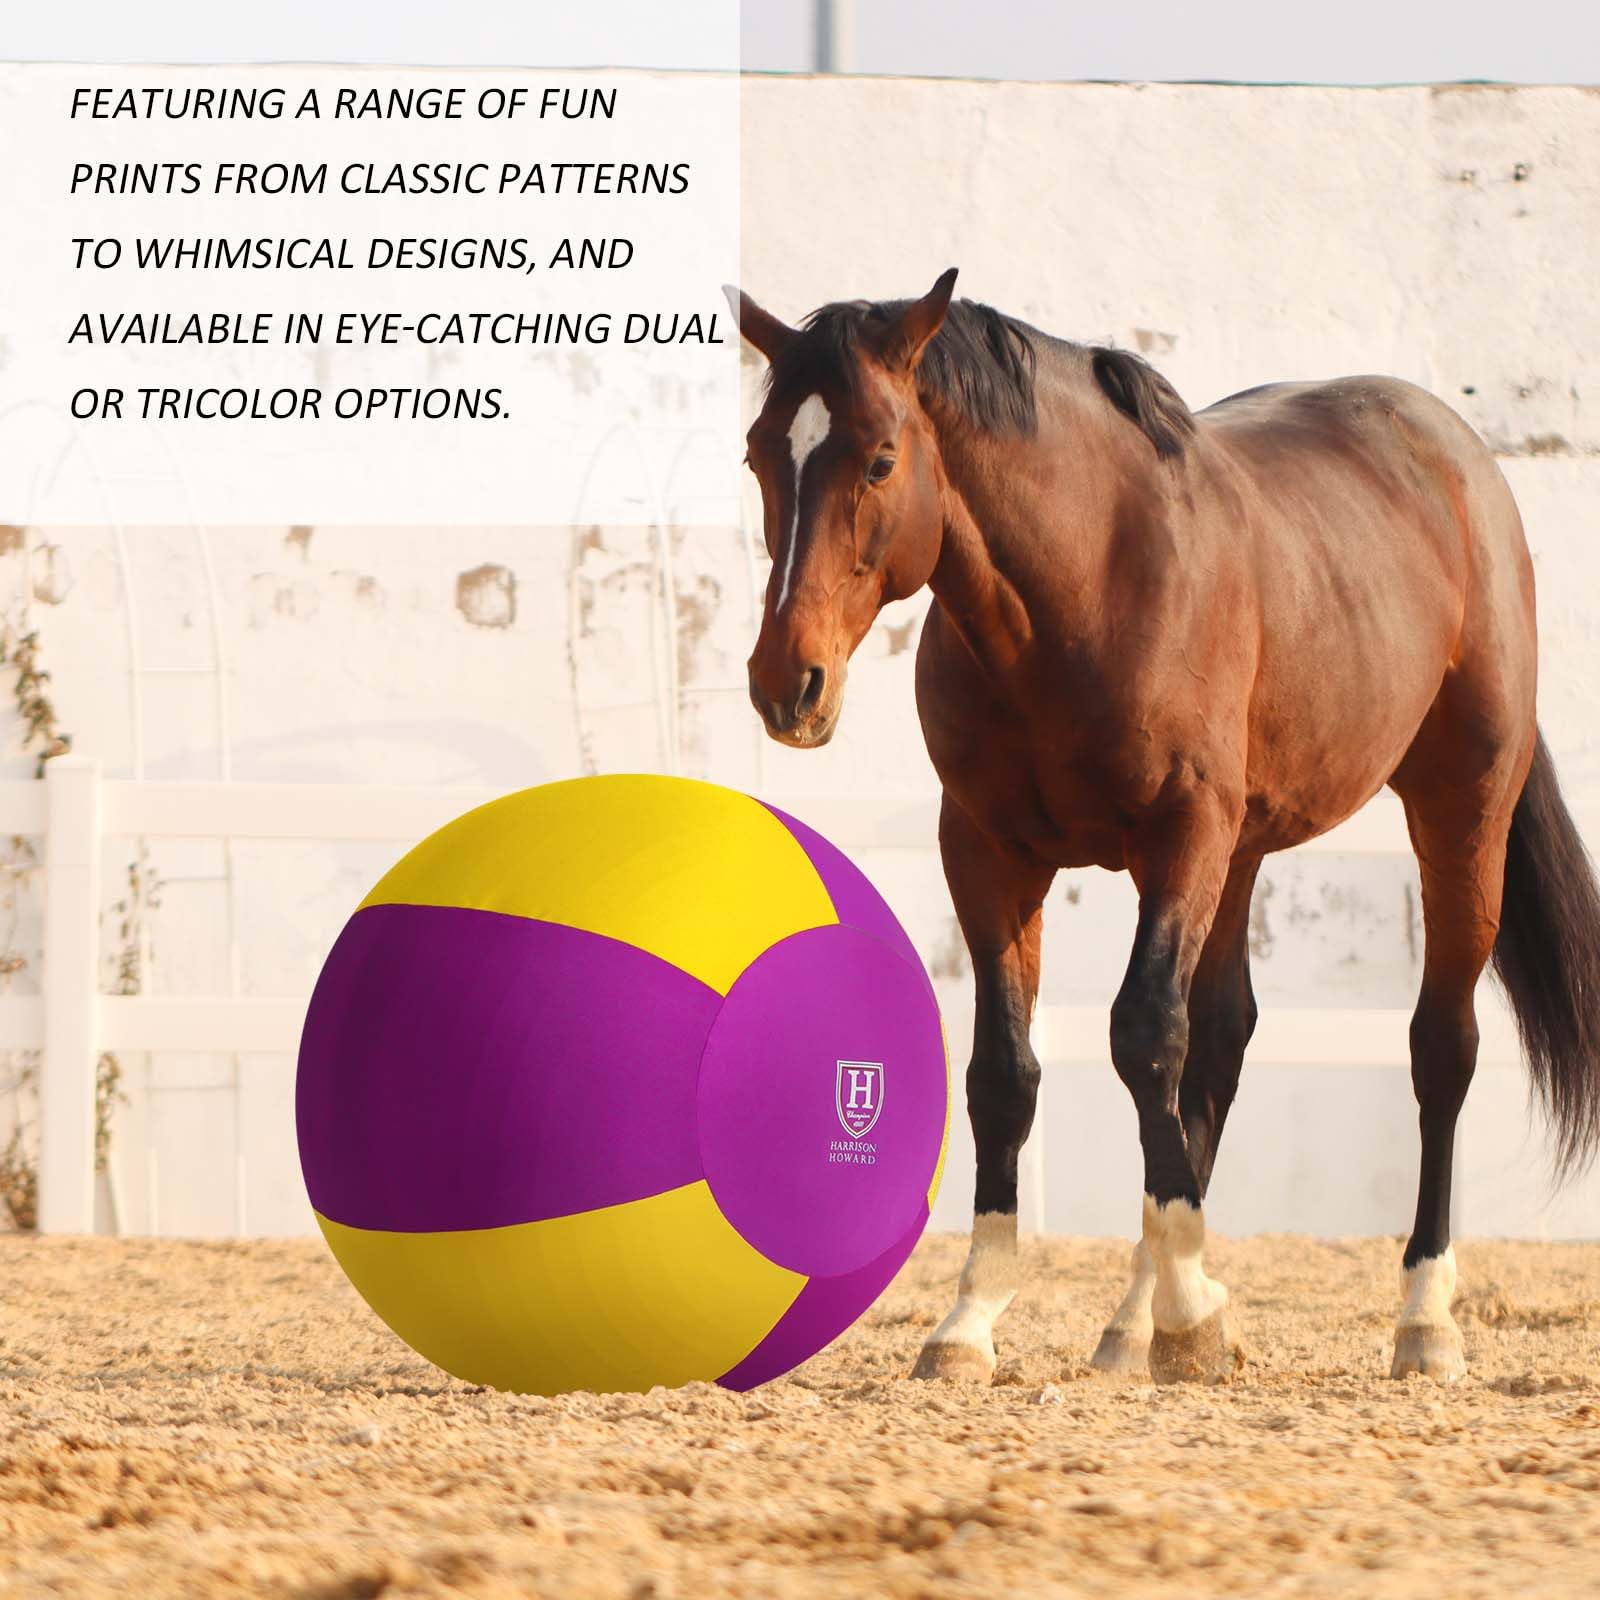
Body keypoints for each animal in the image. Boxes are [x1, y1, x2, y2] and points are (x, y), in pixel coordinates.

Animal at [724, 269, 1600, 1384]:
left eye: (880, 456)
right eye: (762, 453)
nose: (786, 683)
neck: (1085, 589)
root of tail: (1456, 455)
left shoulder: (1182, 835)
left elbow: (1142, 1034)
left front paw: (1190, 1313)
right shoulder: (988, 854)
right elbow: (1008, 1073)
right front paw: (972, 1319)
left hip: (1459, 810)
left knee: (1438, 1046)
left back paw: (1422, 1318)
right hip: (1245, 850)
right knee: (1220, 1044)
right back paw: (1134, 1317)